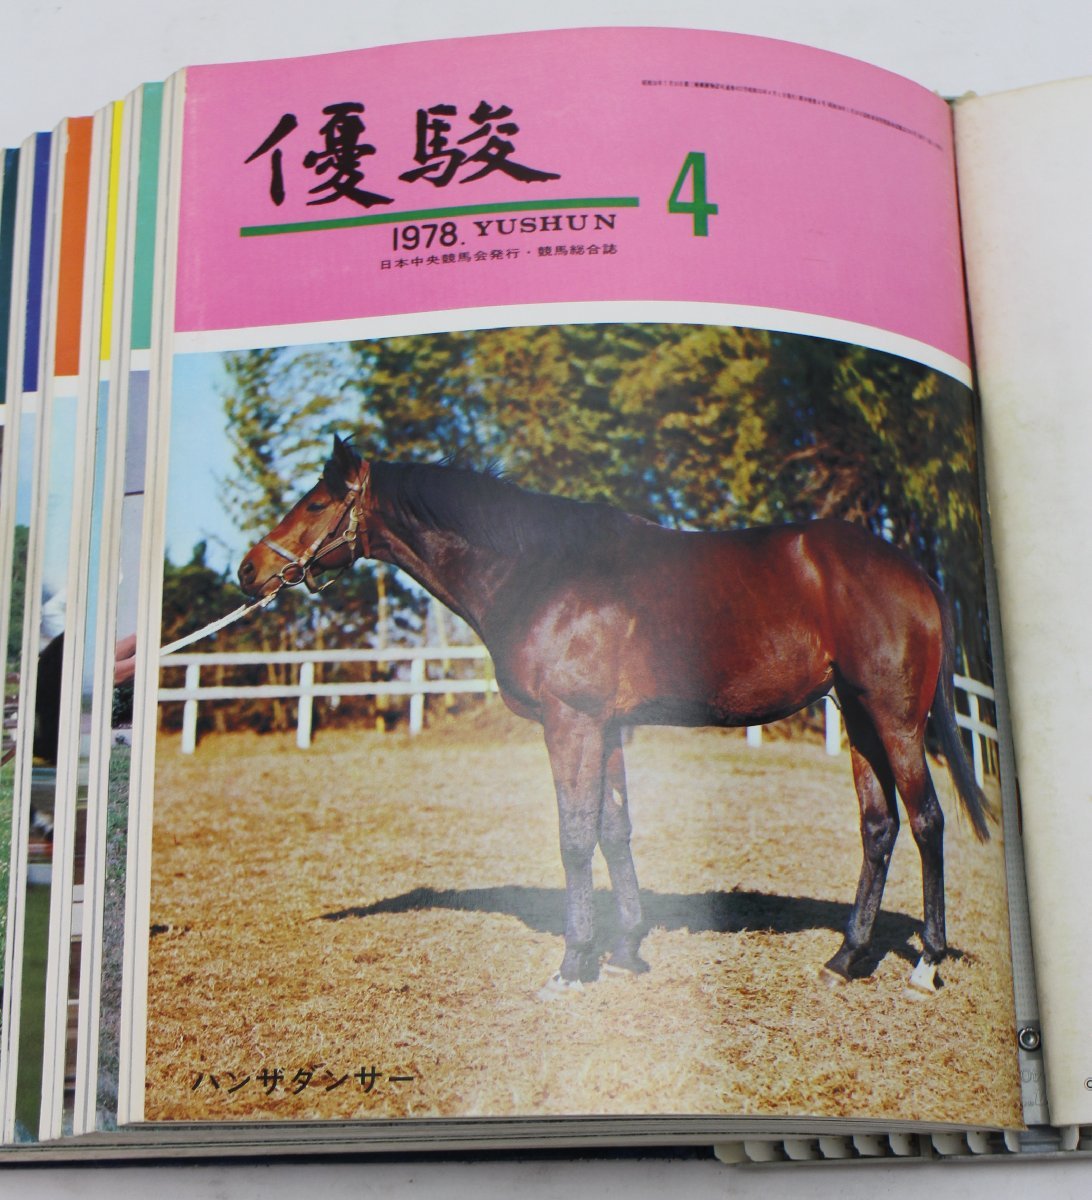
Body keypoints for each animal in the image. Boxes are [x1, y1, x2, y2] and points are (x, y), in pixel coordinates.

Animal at [237, 436, 995, 999]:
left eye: (317, 501)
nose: (248, 572)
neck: (543, 570)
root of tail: (919, 576)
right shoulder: (604, 726)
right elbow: (613, 829)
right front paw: (627, 947)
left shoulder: (569, 721)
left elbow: (575, 837)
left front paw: (573, 964)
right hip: (859, 720)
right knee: (879, 826)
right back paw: (846, 957)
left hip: (895, 720)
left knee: (927, 822)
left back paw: (926, 962)